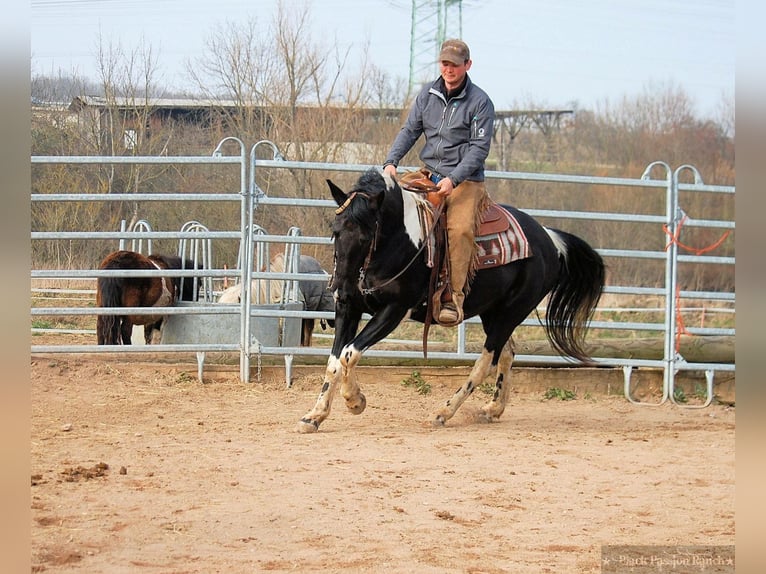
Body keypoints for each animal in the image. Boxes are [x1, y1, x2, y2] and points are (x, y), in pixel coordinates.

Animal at [298, 169, 608, 434]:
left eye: (365, 235)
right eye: (335, 230)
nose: (339, 287)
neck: (398, 241)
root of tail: (550, 239)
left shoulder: (394, 310)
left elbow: (349, 353)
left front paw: (355, 401)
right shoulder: (349, 308)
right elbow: (335, 361)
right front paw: (314, 416)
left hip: (512, 311)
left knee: (486, 361)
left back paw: (443, 412)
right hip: (494, 312)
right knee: (508, 353)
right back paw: (493, 409)